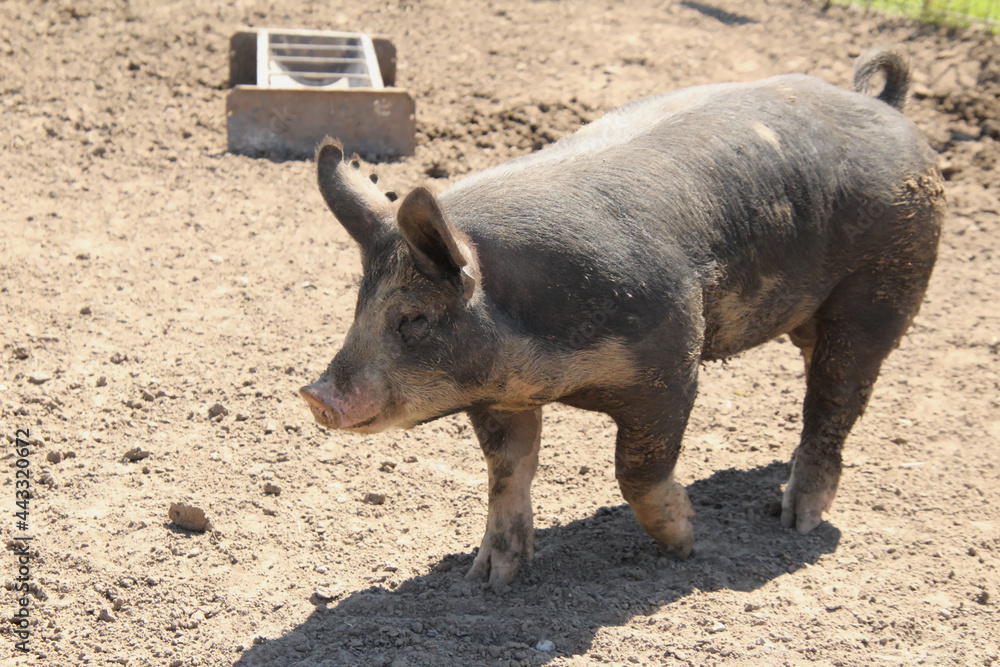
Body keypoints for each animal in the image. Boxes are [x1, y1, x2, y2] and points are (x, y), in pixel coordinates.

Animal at [300, 48, 940, 588]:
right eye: (359, 306)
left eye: (413, 319)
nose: (316, 394)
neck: (546, 365)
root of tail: (886, 107)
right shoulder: (500, 395)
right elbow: (508, 470)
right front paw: (488, 579)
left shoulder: (673, 359)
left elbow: (637, 469)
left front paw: (688, 543)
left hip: (887, 283)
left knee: (836, 397)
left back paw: (796, 520)